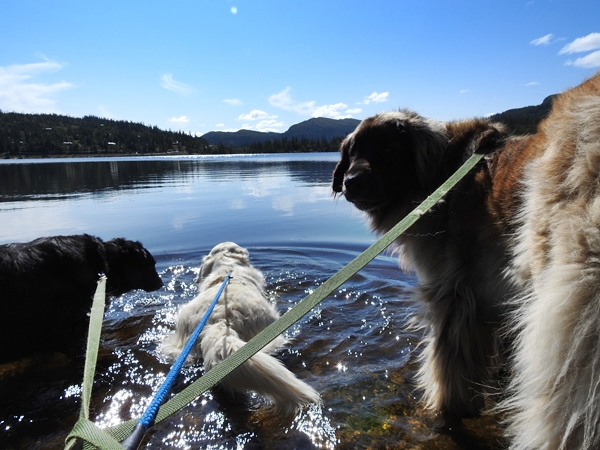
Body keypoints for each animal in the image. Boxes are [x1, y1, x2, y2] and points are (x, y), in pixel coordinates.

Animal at [332, 72, 600, 448]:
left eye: (387, 150)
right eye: (352, 152)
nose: (351, 181)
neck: (442, 179)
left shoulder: (455, 296)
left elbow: (449, 368)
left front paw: (446, 413)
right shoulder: (499, 299)